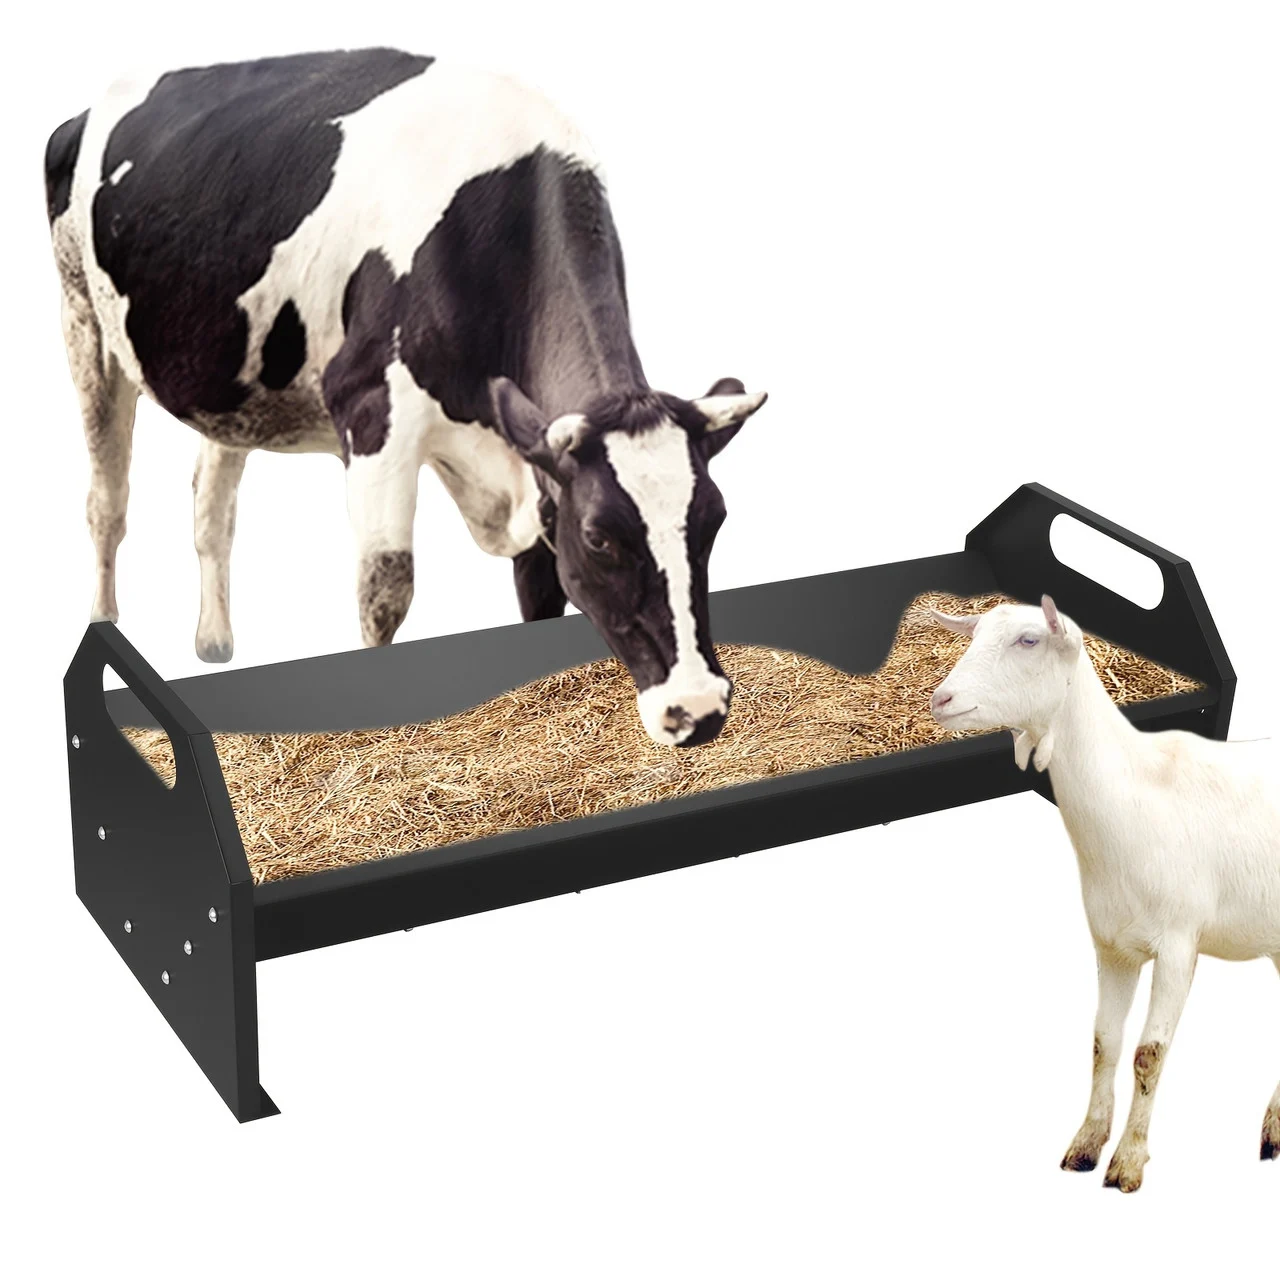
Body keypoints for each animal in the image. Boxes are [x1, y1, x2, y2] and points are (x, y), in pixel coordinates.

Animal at [45, 49, 766, 747]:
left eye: (715, 519)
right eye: (601, 538)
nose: (698, 708)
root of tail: (86, 110)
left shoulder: (531, 461)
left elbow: (538, 589)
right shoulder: (371, 413)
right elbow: (386, 588)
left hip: (227, 377)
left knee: (211, 504)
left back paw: (215, 643)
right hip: (84, 321)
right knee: (107, 503)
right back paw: (104, 623)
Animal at [929, 595, 1280, 1192]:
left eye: (1029, 640)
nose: (941, 699)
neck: (1136, 796)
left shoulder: (1179, 944)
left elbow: (1148, 1054)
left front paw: (1128, 1162)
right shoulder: (1112, 945)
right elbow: (1104, 1043)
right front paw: (1086, 1145)